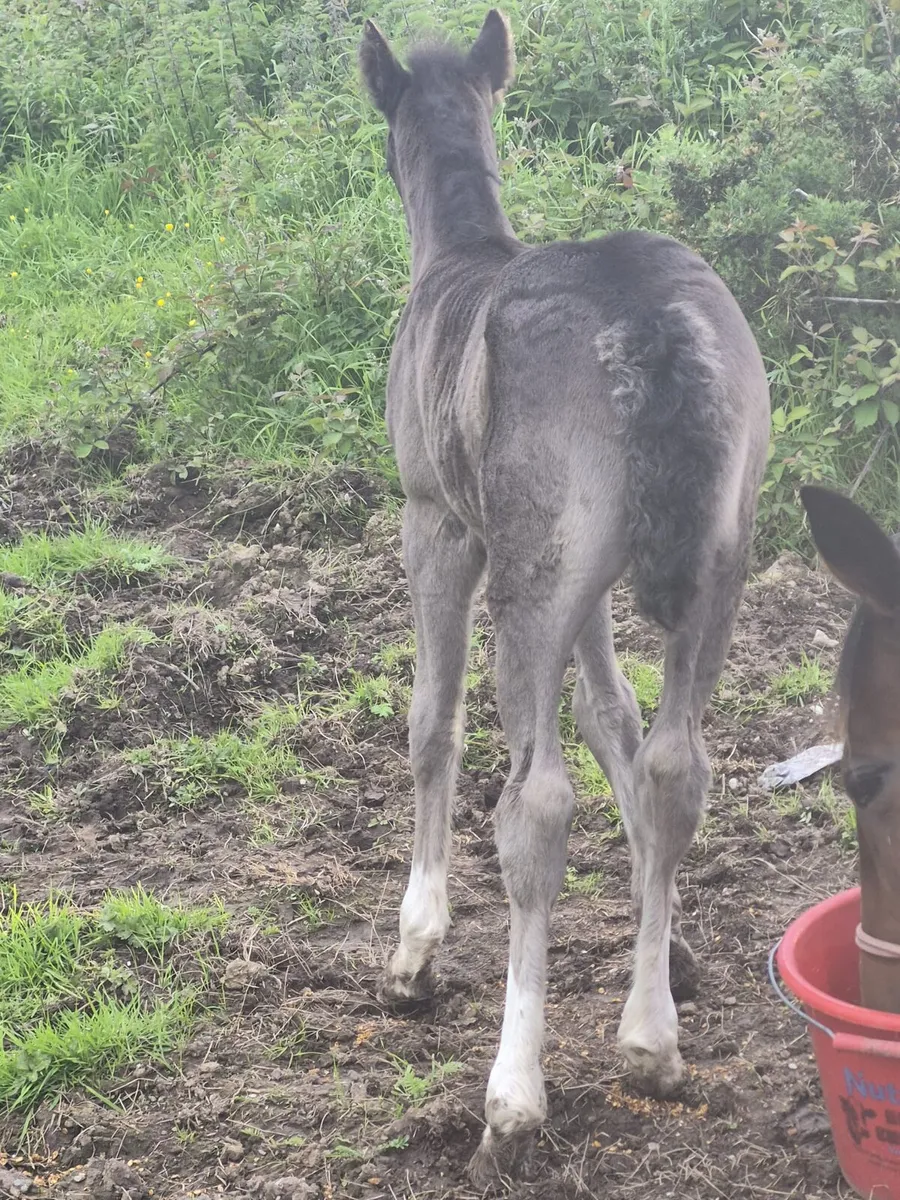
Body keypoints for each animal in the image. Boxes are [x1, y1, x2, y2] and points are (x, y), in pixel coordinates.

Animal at [359, 11, 771, 1182]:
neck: (457, 261)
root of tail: (649, 317)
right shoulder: (587, 593)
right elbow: (613, 719)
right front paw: (668, 940)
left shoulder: (440, 528)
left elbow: (431, 723)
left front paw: (414, 945)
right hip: (706, 567)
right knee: (679, 764)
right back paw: (652, 1041)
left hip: (529, 579)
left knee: (534, 805)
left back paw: (514, 1096)